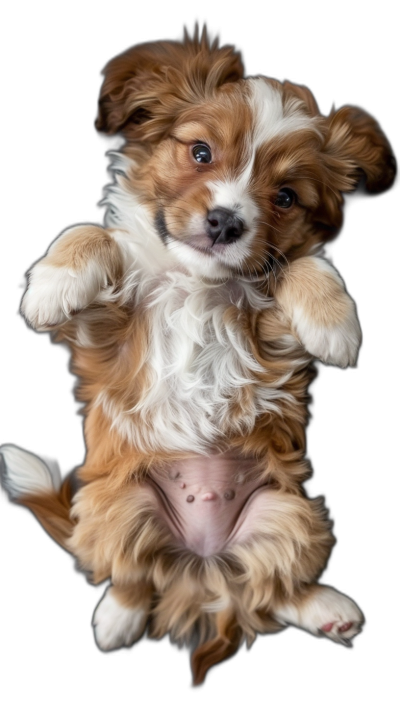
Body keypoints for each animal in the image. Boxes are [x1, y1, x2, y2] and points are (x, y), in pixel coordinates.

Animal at [0, 33, 394, 684]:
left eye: (286, 197)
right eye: (201, 152)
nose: (226, 222)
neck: (198, 283)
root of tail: (201, 559)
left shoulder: (270, 336)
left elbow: (302, 264)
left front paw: (335, 322)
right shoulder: (103, 336)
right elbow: (90, 234)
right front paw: (51, 284)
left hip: (286, 509)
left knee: (270, 587)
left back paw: (326, 608)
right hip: (118, 502)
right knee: (135, 573)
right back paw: (117, 617)